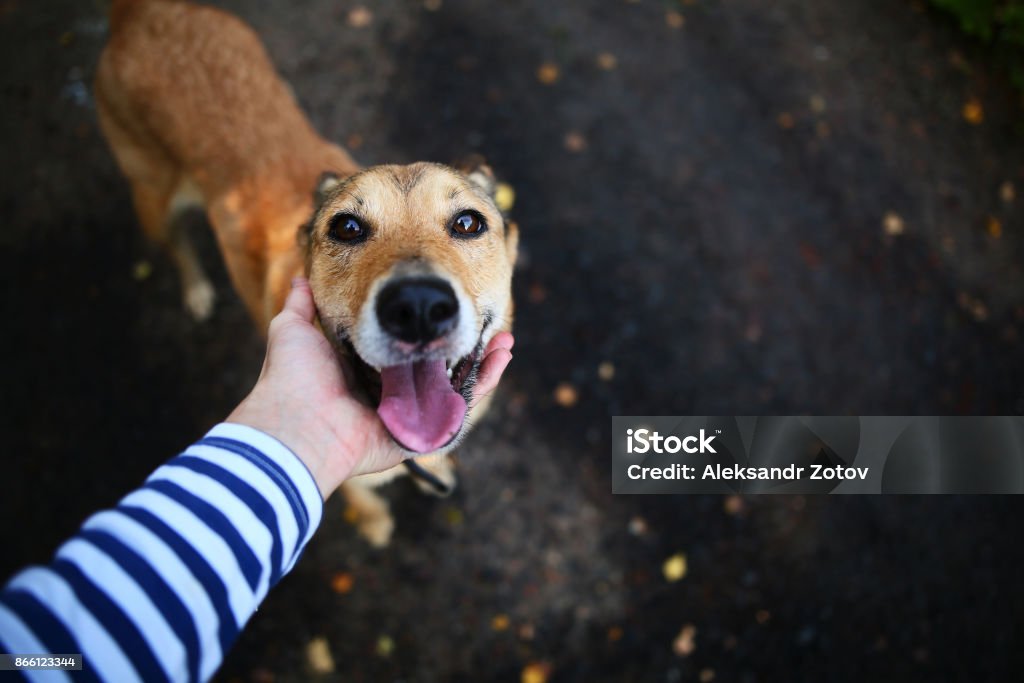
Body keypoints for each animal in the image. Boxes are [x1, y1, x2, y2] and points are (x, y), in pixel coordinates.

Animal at [94, 0, 520, 544]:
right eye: (347, 227)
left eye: (468, 223)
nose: (419, 308)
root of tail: (141, 11)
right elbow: (361, 500)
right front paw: (375, 524)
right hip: (152, 196)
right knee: (176, 244)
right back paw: (196, 290)